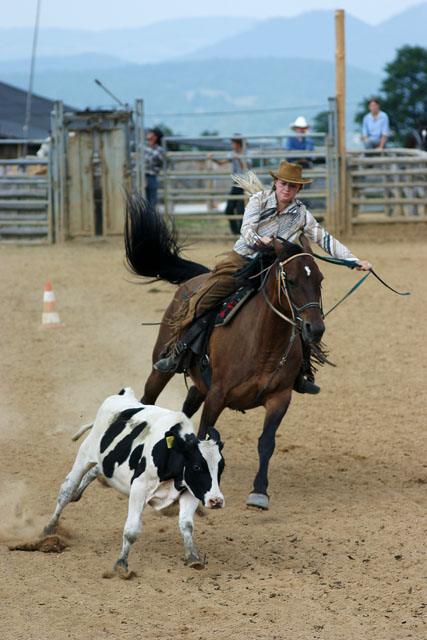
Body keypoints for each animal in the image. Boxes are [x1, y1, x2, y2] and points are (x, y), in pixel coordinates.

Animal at [43, 388, 226, 572]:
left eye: (222, 466)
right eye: (196, 466)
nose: (216, 500)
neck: (168, 454)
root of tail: (123, 395)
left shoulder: (191, 491)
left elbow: (186, 525)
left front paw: (193, 557)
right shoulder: (139, 489)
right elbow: (132, 531)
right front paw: (121, 563)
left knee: (94, 472)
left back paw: (76, 496)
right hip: (85, 455)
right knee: (66, 490)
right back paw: (48, 529)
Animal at [125, 196, 326, 510]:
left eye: (319, 279)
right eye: (291, 281)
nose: (314, 329)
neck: (262, 345)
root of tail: (198, 278)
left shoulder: (280, 397)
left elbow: (266, 442)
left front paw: (259, 492)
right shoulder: (218, 395)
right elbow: (203, 436)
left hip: (200, 384)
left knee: (187, 405)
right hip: (162, 367)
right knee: (148, 399)